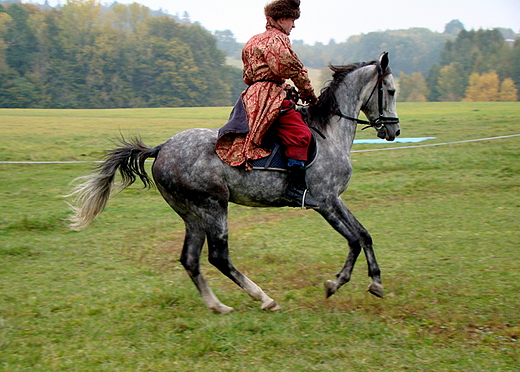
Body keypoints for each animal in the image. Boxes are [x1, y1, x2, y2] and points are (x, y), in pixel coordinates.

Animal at [67, 52, 400, 314]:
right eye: (392, 90)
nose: (394, 131)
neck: (329, 133)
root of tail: (161, 148)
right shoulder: (324, 202)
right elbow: (353, 240)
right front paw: (335, 283)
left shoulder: (335, 199)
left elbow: (365, 235)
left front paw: (376, 283)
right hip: (213, 206)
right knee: (218, 256)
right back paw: (264, 298)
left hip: (192, 214)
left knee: (190, 259)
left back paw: (218, 306)